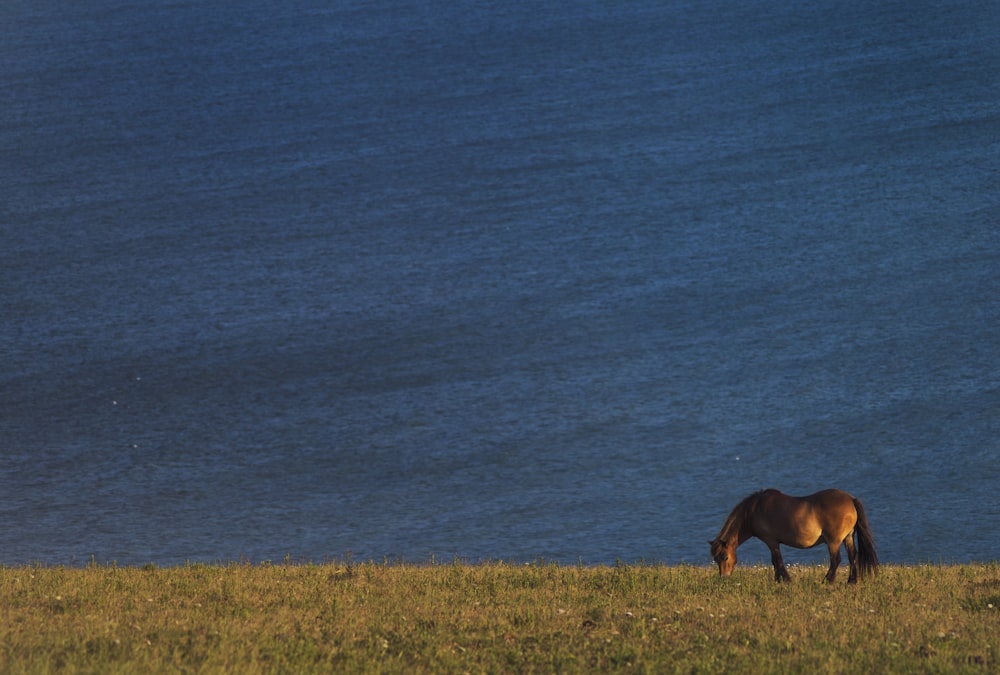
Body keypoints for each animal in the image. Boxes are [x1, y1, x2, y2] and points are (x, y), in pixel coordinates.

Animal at [708, 488, 880, 584]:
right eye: (716, 559)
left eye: (725, 557)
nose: (724, 578)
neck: (754, 510)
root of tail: (850, 499)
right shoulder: (772, 543)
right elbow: (775, 561)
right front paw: (778, 580)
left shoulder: (771, 541)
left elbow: (778, 560)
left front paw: (785, 580)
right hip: (847, 538)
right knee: (853, 556)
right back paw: (851, 581)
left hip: (833, 541)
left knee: (836, 560)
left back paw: (827, 581)